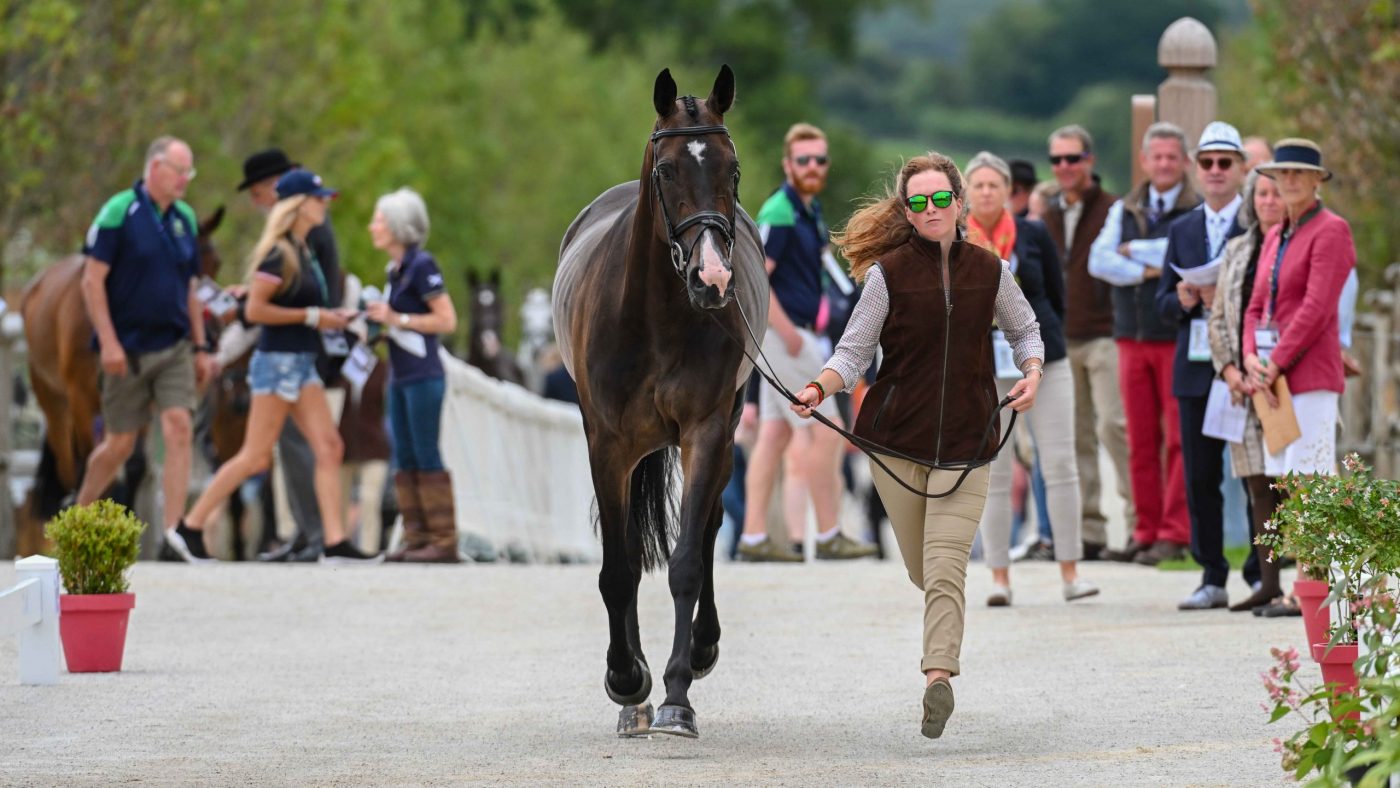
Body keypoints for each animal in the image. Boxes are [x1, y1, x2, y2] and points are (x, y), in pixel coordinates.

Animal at [553, 65, 767, 739]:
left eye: (732, 167)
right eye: (667, 169)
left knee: (708, 529)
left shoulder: (705, 430)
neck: (656, 316)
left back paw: (699, 650)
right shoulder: (608, 442)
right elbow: (618, 570)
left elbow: (686, 562)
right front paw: (628, 680)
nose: (713, 279)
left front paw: (676, 693)